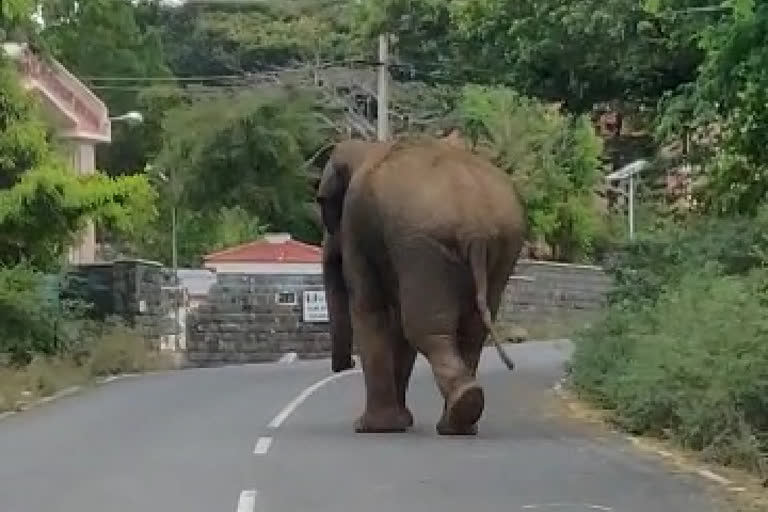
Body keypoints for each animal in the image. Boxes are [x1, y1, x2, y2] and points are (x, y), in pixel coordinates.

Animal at [316, 137, 524, 436]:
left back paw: (460, 411)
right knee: (471, 333)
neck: (368, 147)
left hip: (425, 246)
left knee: (425, 329)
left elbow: (371, 308)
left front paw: (372, 428)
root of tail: (475, 228)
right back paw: (459, 422)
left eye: (324, 205)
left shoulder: (356, 224)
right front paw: (398, 424)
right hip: (503, 246)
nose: (348, 364)